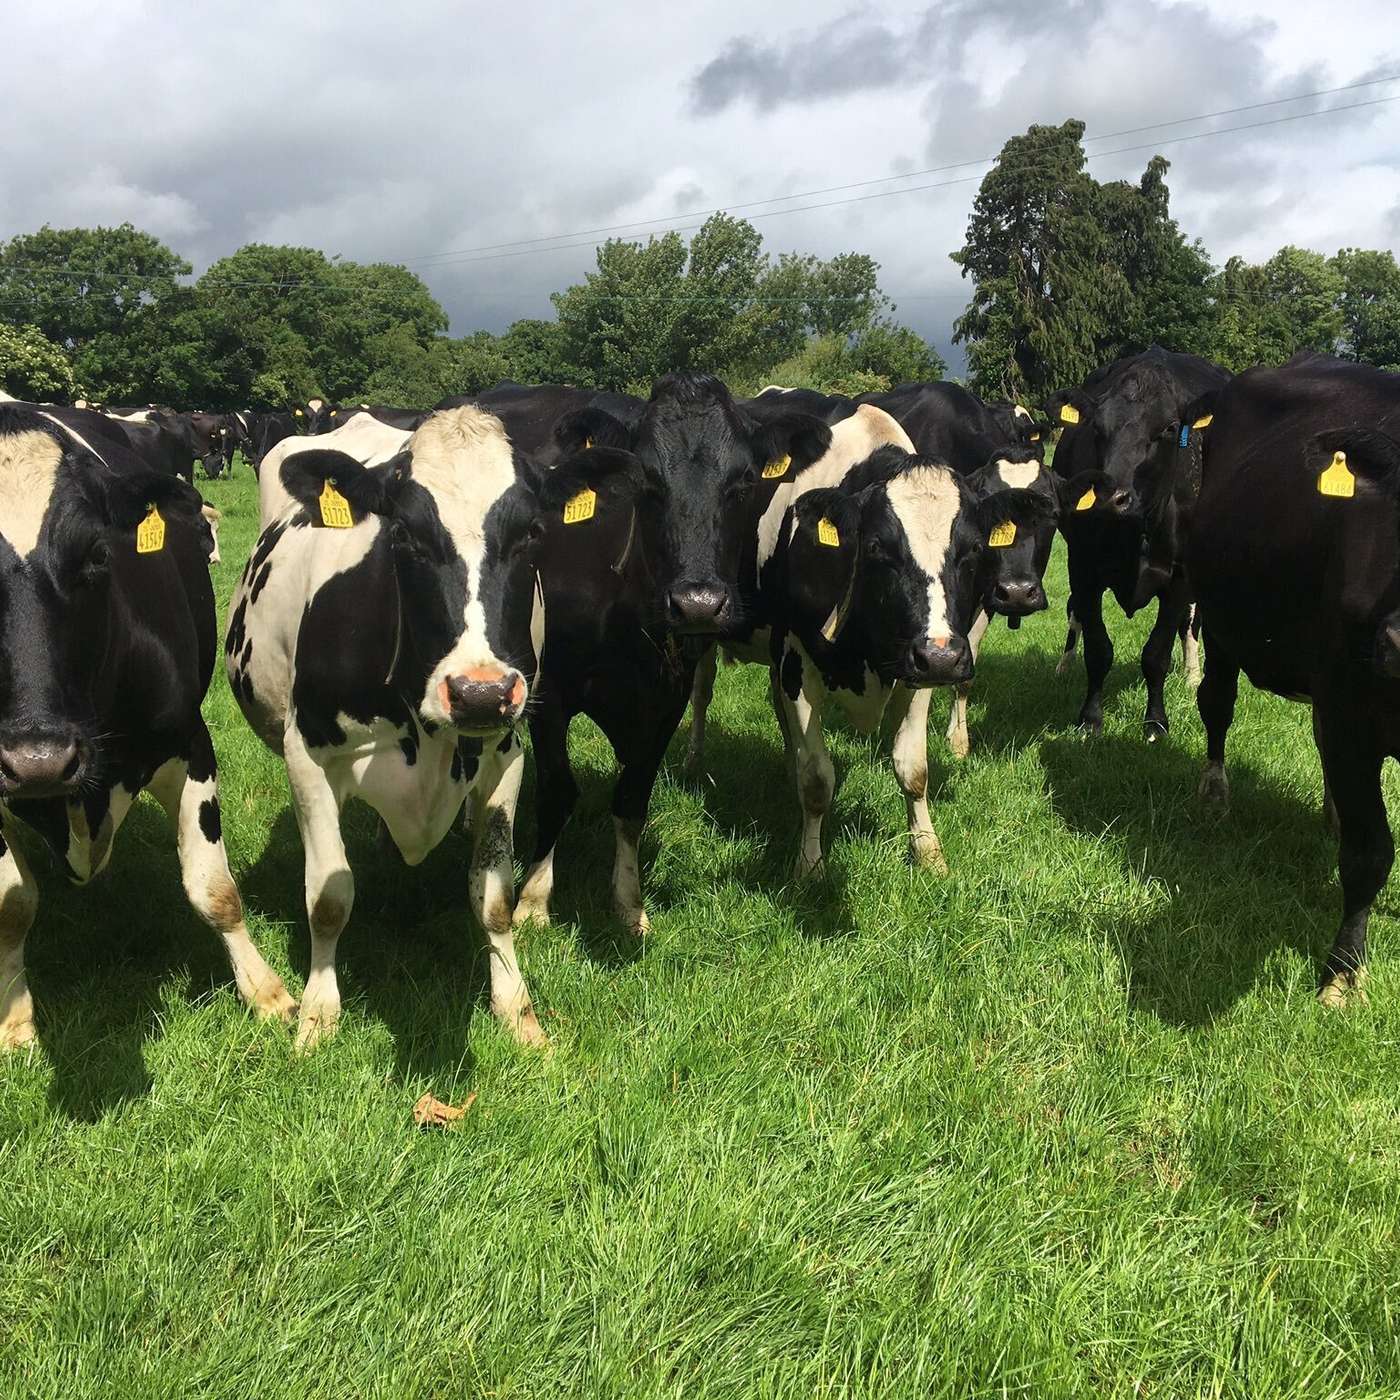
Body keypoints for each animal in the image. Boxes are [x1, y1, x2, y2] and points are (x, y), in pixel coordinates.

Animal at [0, 404, 295, 1049]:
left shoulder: (190, 743)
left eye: (97, 556)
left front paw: (266, 992)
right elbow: (12, 904)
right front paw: (14, 1021)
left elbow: (214, 889)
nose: (38, 761)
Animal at [225, 407, 627, 1049]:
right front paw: (317, 1014)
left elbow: (493, 896)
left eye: (533, 533)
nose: (480, 691)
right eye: (403, 536)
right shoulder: (306, 756)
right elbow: (328, 897)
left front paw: (516, 1010)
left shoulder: (505, 753)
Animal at [507, 373, 832, 933]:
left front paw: (628, 902)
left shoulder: (665, 701)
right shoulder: (549, 694)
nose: (698, 603)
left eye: (744, 484)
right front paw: (533, 900)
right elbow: (556, 792)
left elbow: (632, 799)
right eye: (648, 483)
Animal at [1049, 346, 1231, 737]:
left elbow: (1157, 654)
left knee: (1191, 624)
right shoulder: (1082, 566)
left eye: (1168, 428)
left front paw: (1155, 722)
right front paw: (1090, 719)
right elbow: (1098, 648)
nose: (1109, 494)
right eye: (1096, 427)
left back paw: (1193, 675)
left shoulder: (1179, 577)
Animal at [1184, 354, 1400, 1007]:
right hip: (1218, 618)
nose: (1398, 642)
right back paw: (1215, 792)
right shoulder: (1353, 714)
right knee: (1216, 704)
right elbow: (1368, 853)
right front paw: (1343, 972)